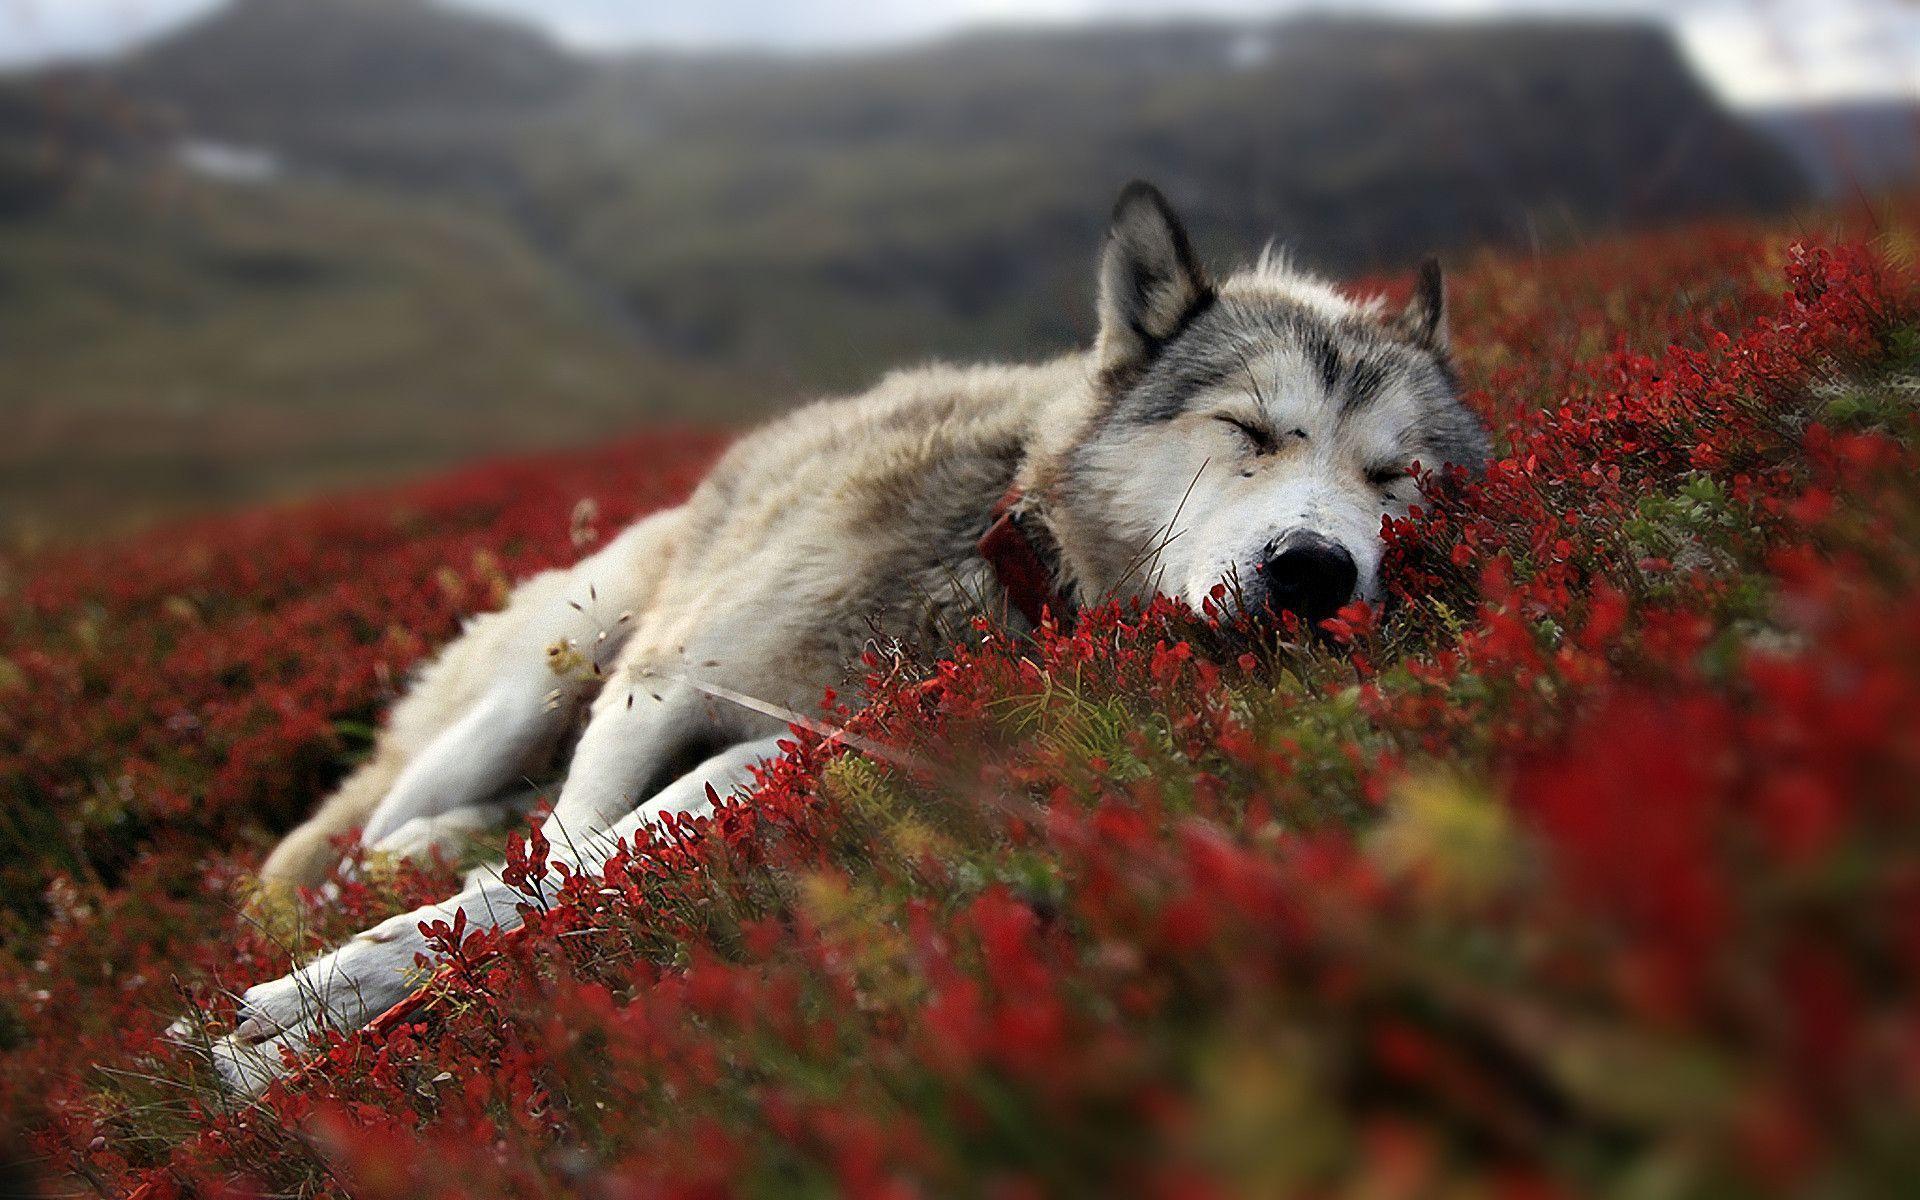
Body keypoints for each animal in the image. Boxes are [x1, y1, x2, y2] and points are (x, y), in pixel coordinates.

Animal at [201, 182, 1489, 1092]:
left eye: (1396, 478)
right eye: (1250, 431)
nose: (1314, 572)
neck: (993, 557)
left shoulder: (788, 750)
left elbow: (573, 871)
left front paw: (312, 1029)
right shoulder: (659, 688)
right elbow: (557, 856)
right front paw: (309, 1013)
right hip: (556, 668)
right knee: (351, 833)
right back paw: (358, 876)